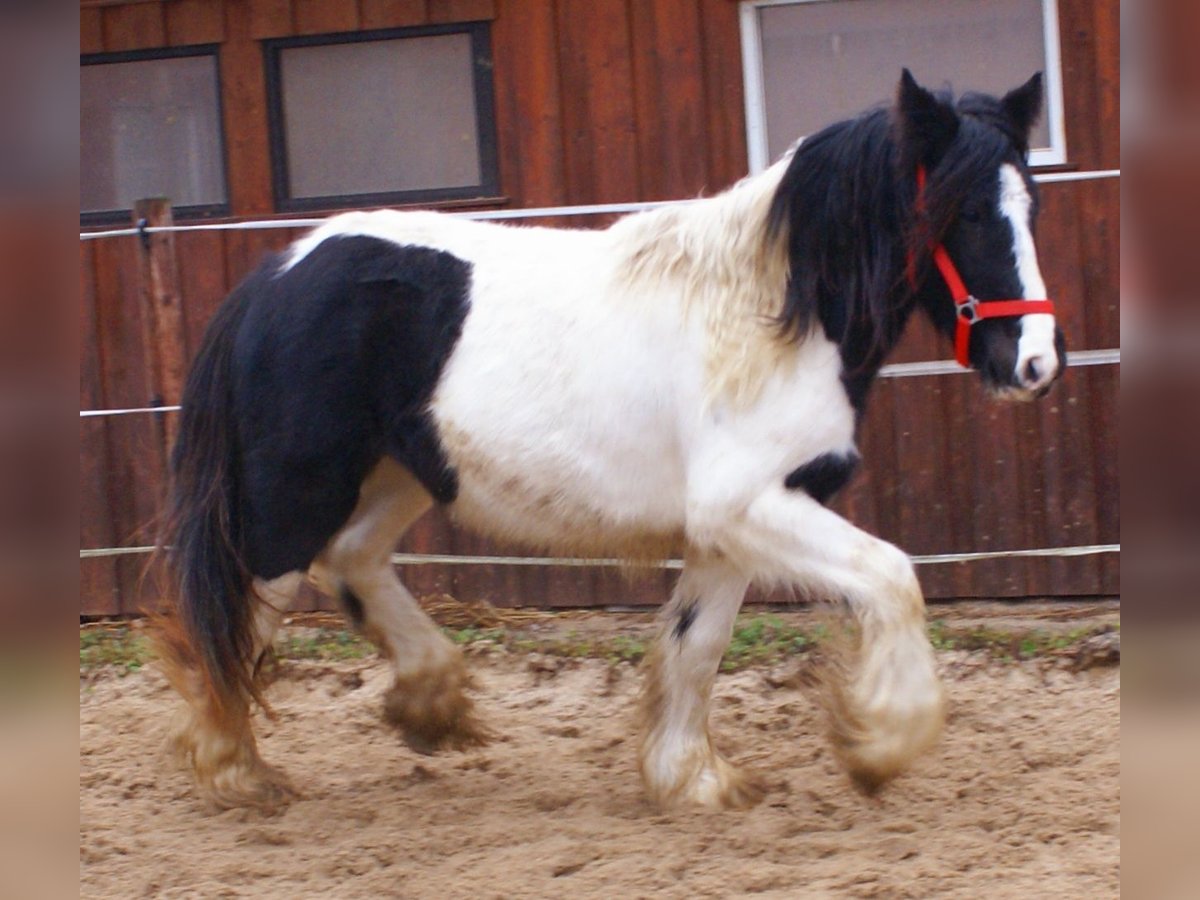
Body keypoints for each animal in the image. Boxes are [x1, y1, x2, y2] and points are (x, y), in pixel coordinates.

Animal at [154, 74, 1065, 816]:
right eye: (966, 211)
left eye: (1032, 206)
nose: (1036, 364)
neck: (773, 315)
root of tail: (272, 278)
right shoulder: (747, 506)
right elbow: (893, 576)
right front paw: (879, 746)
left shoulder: (730, 528)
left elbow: (698, 646)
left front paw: (691, 779)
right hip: (294, 494)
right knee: (242, 609)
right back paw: (237, 771)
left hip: (400, 474)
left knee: (352, 558)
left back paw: (432, 701)